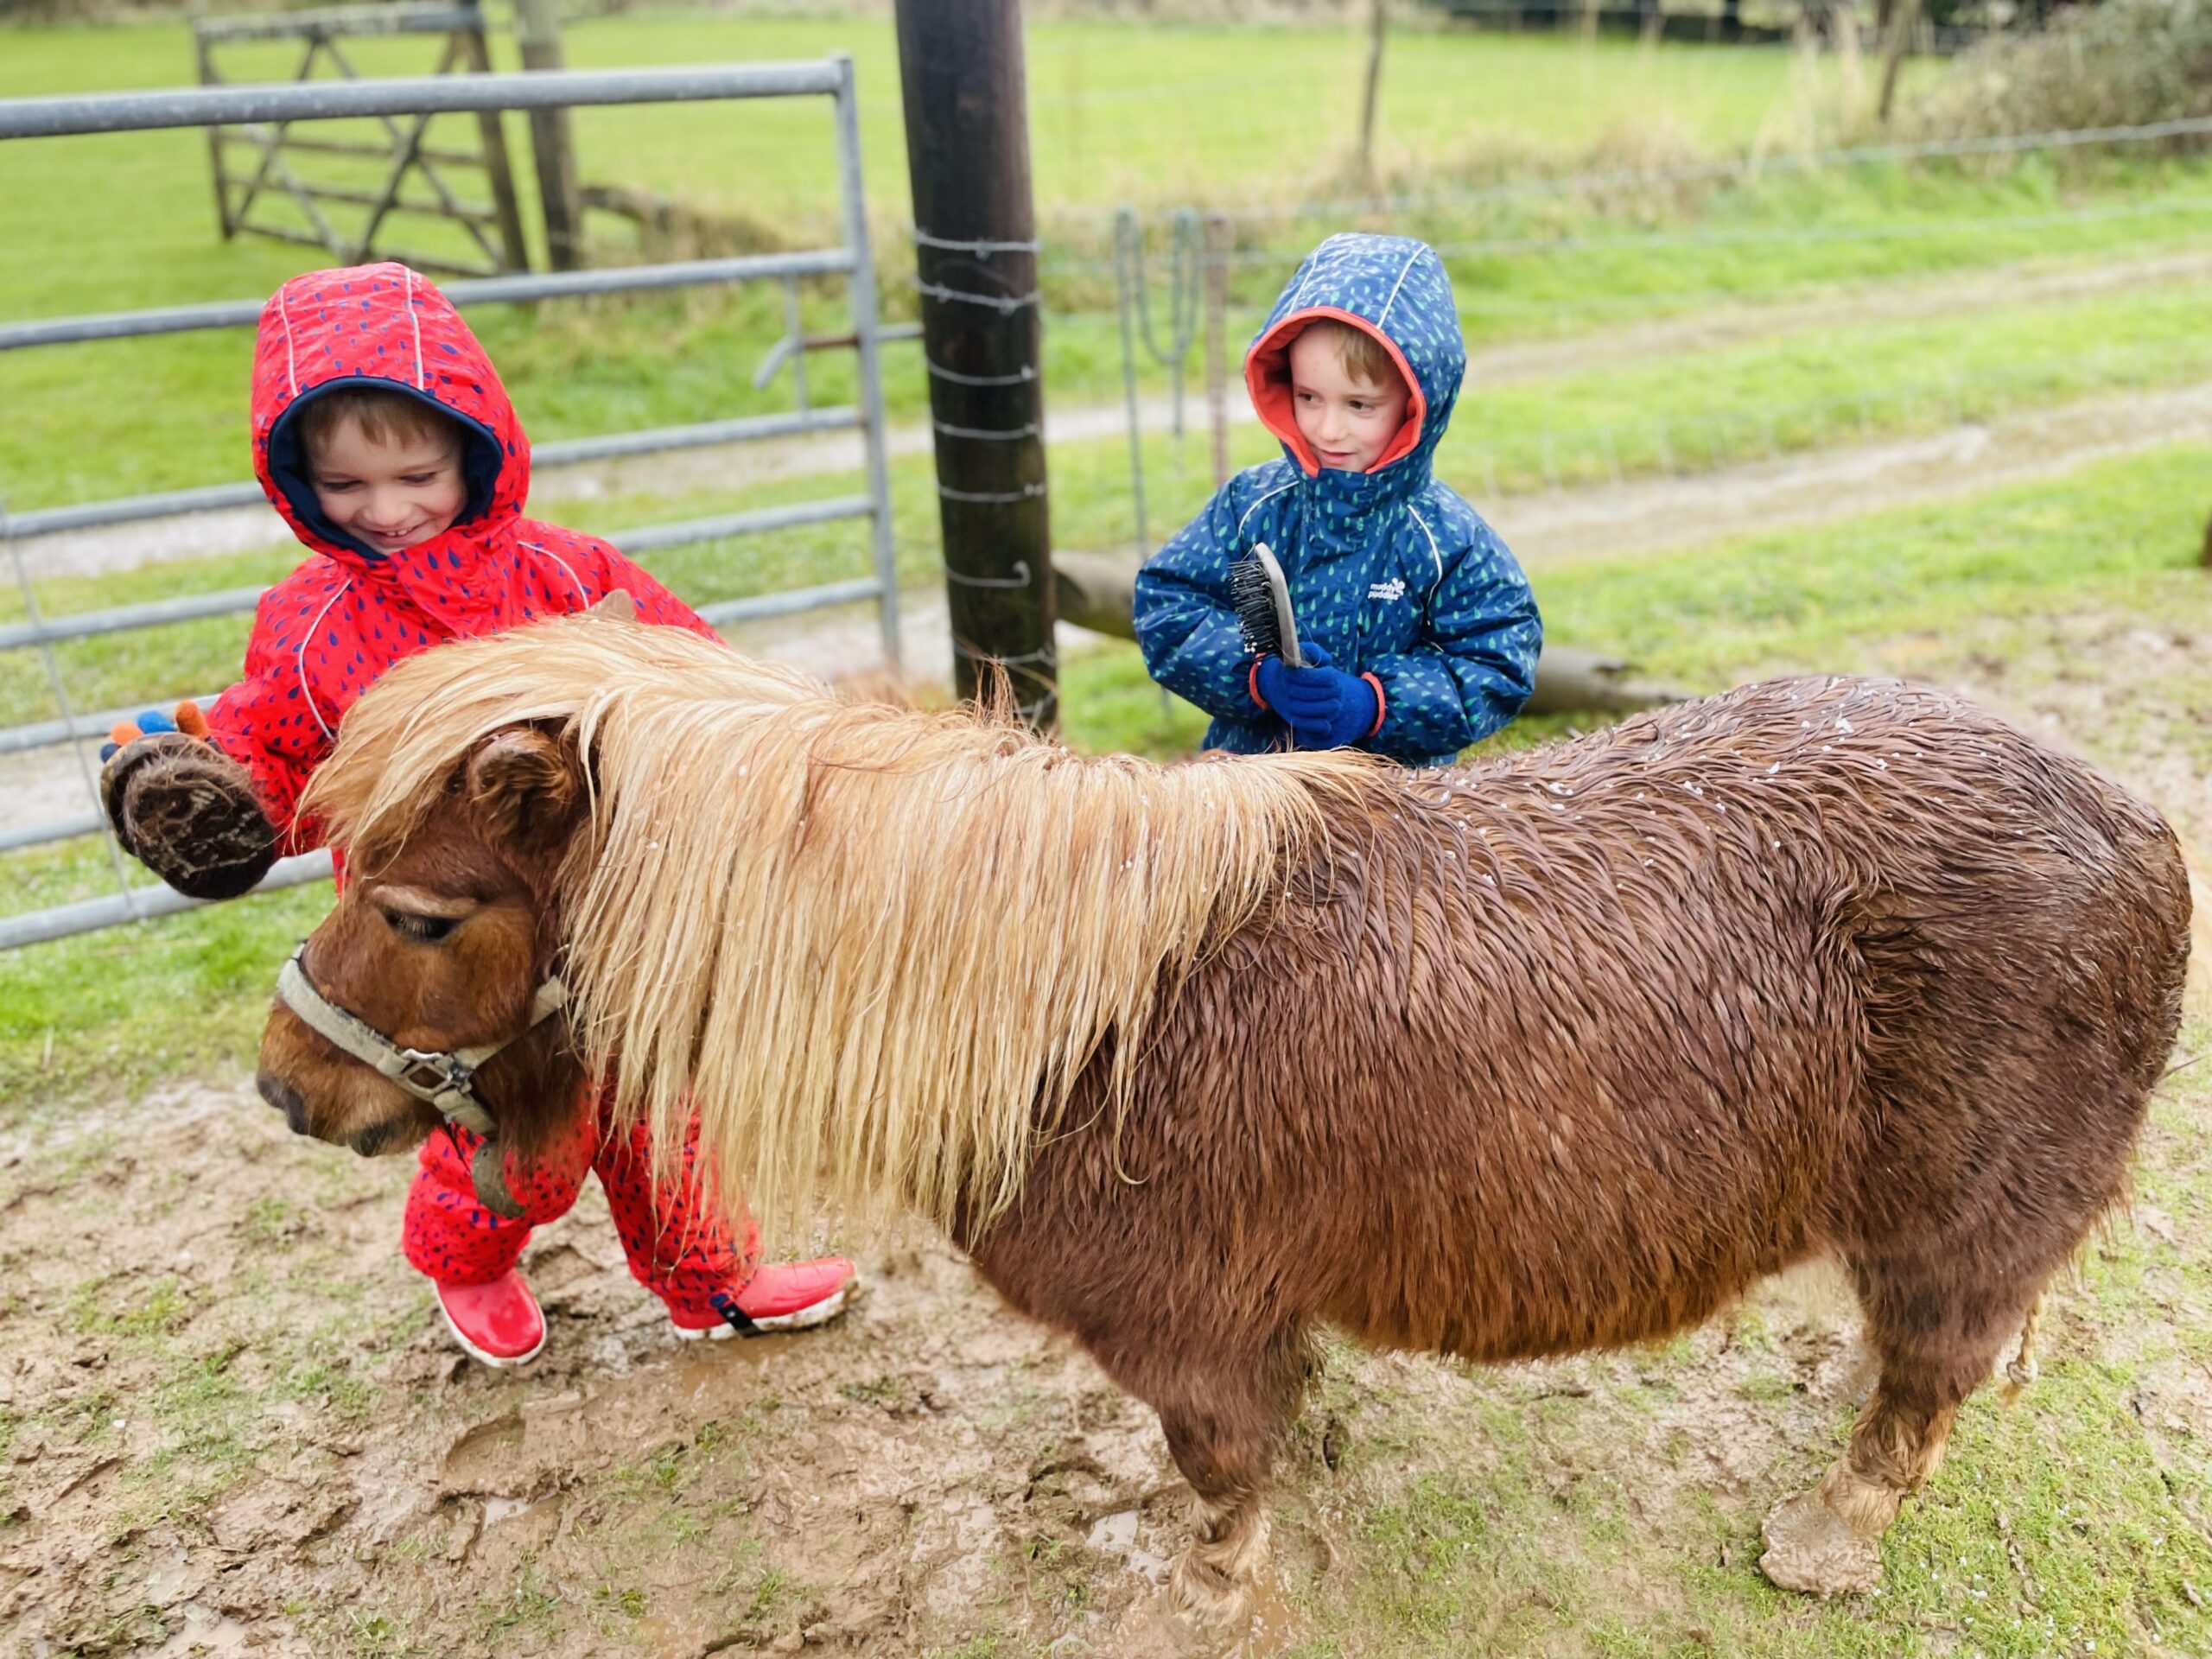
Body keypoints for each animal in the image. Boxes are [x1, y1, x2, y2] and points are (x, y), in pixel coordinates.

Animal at [258, 614, 2194, 1637]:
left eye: (420, 912)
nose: (288, 1086)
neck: (1064, 1014)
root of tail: (2129, 816)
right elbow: (1275, 1420)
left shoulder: (1181, 1328)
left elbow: (1216, 1474)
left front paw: (1208, 1587)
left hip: (1950, 1222)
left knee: (1924, 1374)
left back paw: (1832, 1533)